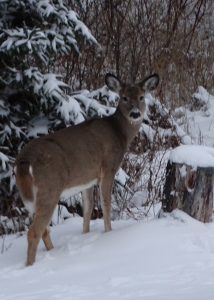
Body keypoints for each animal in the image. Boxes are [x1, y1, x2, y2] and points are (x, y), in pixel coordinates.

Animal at [15, 72, 159, 264]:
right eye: (124, 97)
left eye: (142, 97)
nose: (135, 113)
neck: (120, 133)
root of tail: (24, 160)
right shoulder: (108, 167)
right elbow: (106, 204)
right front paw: (109, 233)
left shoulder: (88, 179)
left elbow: (88, 209)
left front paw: (85, 235)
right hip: (49, 188)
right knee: (34, 231)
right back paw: (30, 265)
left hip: (28, 197)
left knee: (43, 229)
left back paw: (53, 253)